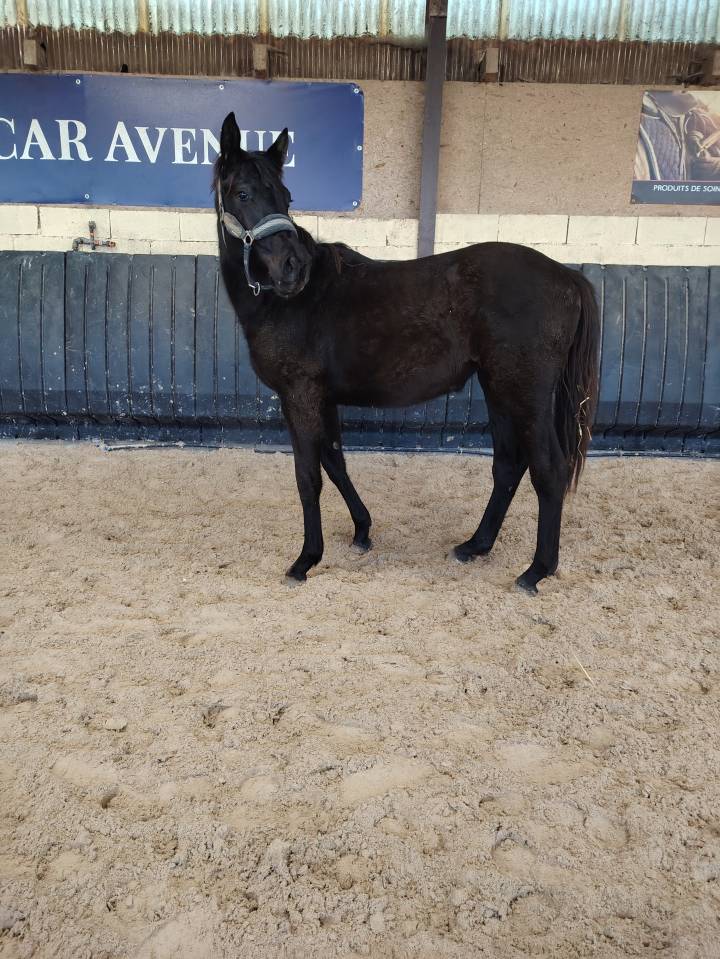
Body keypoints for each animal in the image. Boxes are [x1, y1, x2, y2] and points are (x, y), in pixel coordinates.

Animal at [214, 112, 600, 594]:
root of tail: (566, 276)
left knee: (548, 469)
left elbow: (308, 476)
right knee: (509, 465)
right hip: (498, 389)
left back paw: (535, 570)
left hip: (523, 393)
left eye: (285, 197)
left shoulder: (299, 394)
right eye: (244, 193)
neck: (292, 302)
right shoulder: (322, 398)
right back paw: (475, 545)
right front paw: (362, 531)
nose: (293, 268)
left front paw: (305, 560)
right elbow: (335, 460)